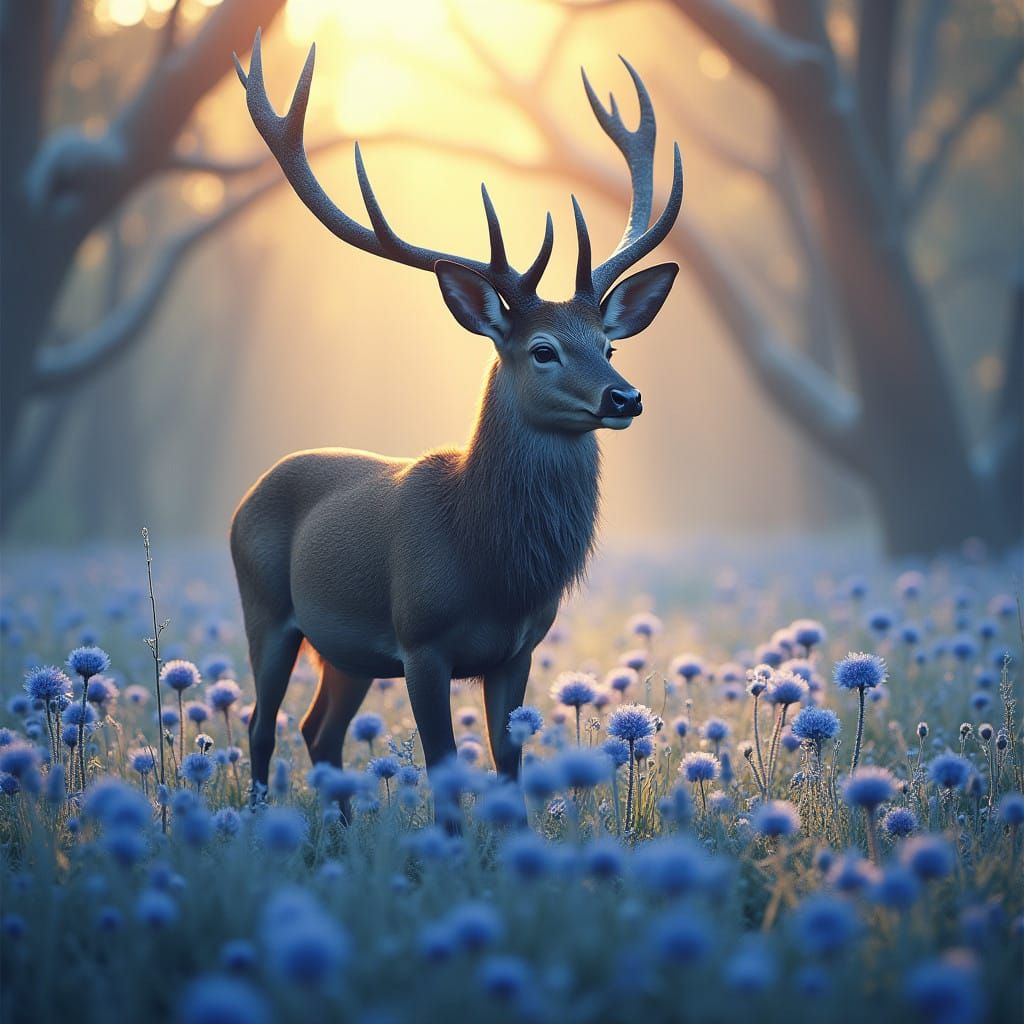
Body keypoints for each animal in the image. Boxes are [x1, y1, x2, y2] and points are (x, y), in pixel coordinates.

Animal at [230, 31, 683, 809]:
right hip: (265, 606)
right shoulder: (421, 641)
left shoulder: (519, 649)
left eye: (609, 345)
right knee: (263, 725)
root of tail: (247, 495)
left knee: (320, 733)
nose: (624, 398)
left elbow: (509, 763)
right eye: (542, 349)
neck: (490, 563)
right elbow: (444, 766)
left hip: (346, 653)